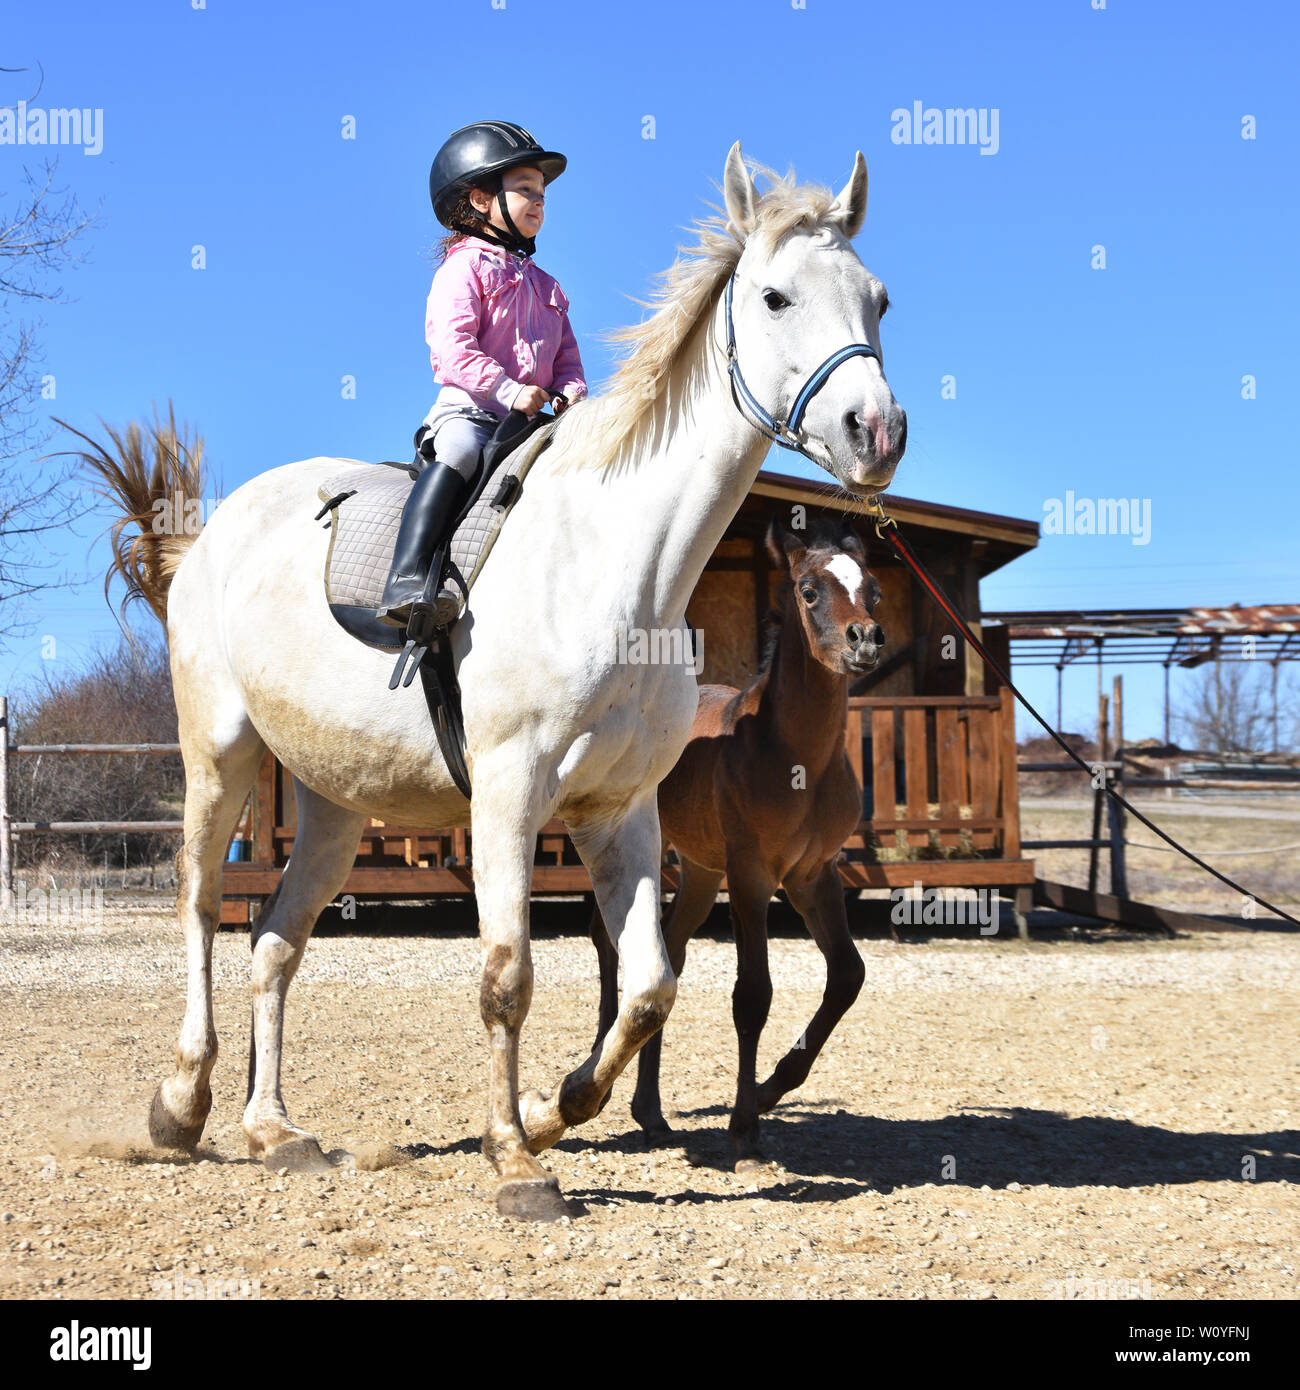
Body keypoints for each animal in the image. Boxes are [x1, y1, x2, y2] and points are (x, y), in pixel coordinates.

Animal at [589, 517, 884, 1167]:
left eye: (874, 590)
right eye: (808, 591)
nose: (865, 641)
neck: (796, 761)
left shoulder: (813, 875)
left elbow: (847, 976)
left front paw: (773, 1089)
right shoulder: (752, 876)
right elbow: (752, 994)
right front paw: (744, 1126)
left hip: (700, 871)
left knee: (668, 951)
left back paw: (650, 1113)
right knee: (607, 938)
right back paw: (601, 1073)